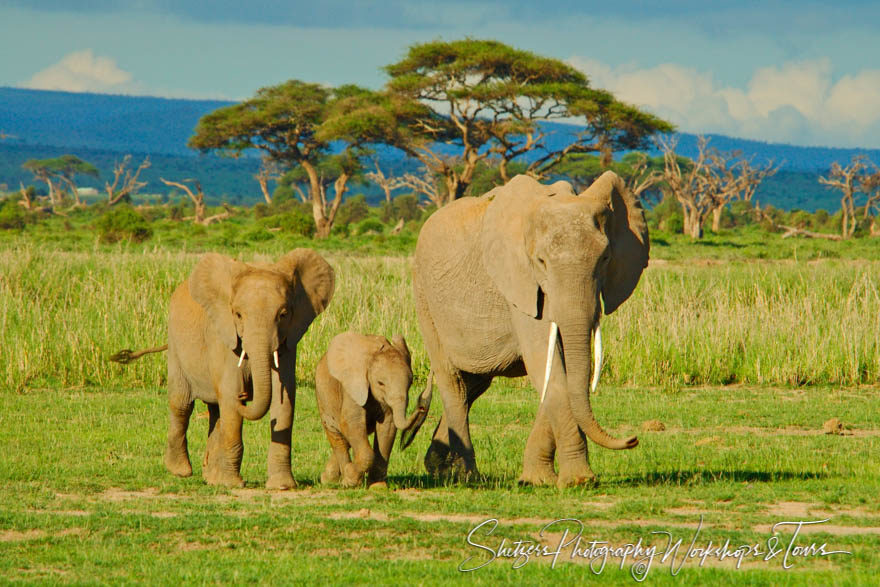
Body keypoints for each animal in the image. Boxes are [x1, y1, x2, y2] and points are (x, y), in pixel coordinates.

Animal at [118, 250, 336, 490]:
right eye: (238, 315)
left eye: (283, 314)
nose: (245, 395)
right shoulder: (223, 337)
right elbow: (231, 395)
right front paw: (232, 484)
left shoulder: (288, 341)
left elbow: (284, 399)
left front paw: (282, 486)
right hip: (175, 345)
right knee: (182, 404)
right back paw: (181, 471)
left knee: (216, 412)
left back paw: (212, 478)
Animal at [316, 334, 434, 490]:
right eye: (380, 383)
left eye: (410, 383)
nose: (421, 407)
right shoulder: (353, 388)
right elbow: (351, 422)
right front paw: (351, 480)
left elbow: (387, 427)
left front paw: (378, 487)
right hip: (323, 396)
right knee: (338, 436)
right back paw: (341, 480)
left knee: (347, 439)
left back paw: (329, 479)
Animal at [412, 172, 648, 490]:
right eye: (541, 262)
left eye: (605, 259)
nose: (633, 439)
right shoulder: (520, 286)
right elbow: (548, 368)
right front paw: (578, 481)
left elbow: (561, 372)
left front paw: (538, 479)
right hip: (425, 299)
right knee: (454, 384)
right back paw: (467, 476)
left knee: (474, 384)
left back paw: (439, 468)